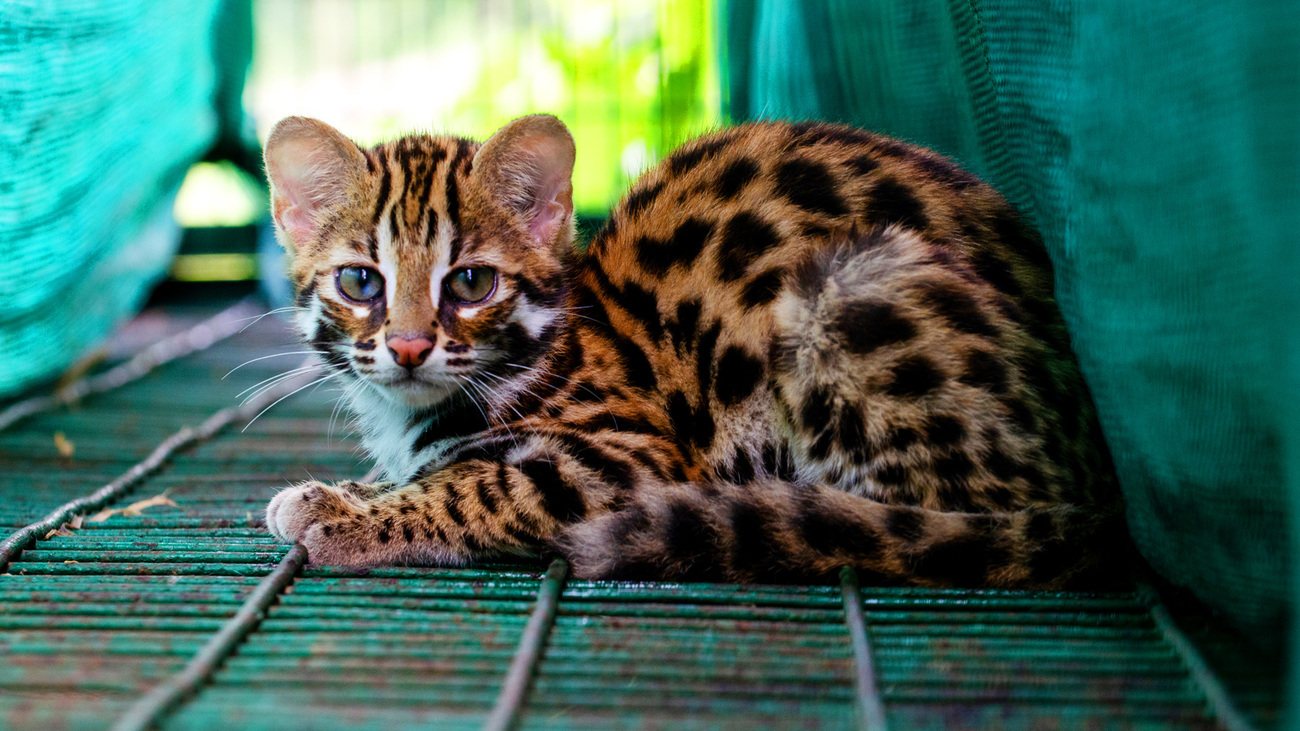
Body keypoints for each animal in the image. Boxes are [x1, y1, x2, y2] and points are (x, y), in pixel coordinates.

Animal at [258, 113, 1123, 585]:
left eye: (469, 281)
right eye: (361, 281)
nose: (407, 345)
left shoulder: (623, 454)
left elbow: (475, 486)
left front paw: (353, 516)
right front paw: (351, 488)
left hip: (842, 290)